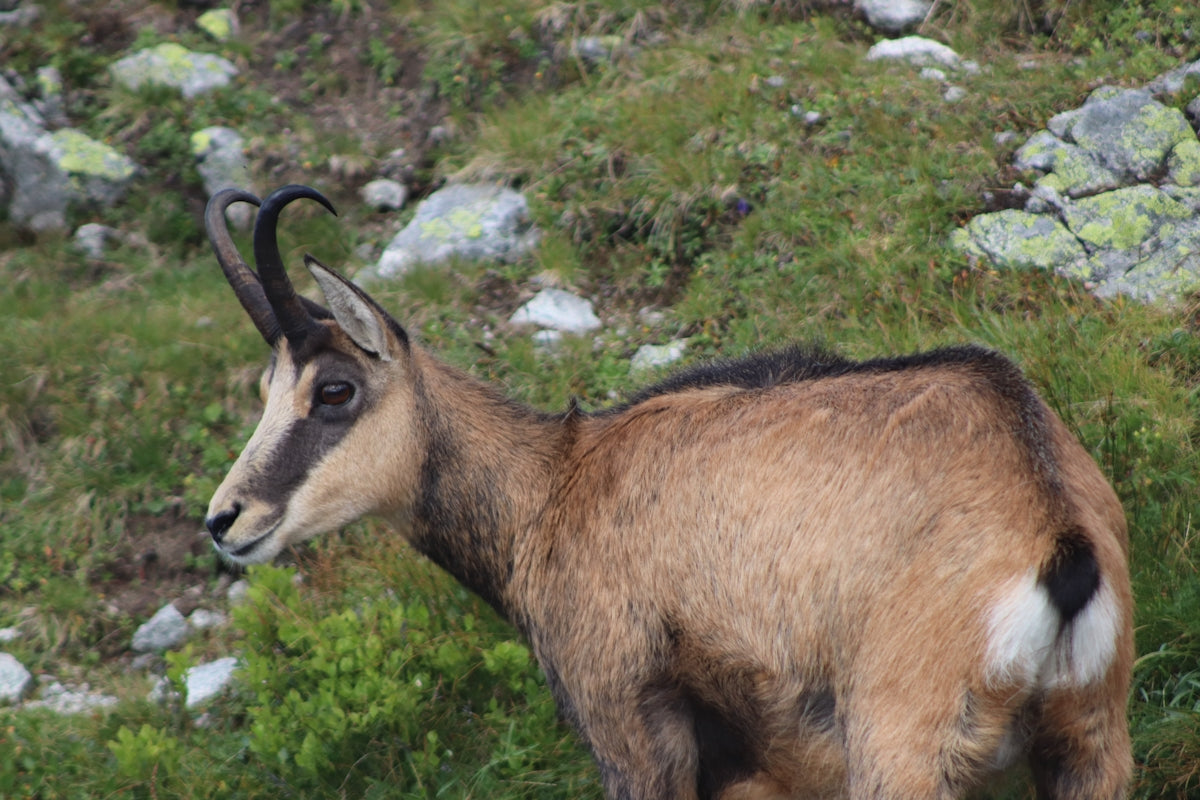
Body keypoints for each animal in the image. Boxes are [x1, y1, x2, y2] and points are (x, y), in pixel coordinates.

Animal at [203, 184, 1132, 800]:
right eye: (267, 388)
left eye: (334, 391)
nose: (225, 521)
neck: (555, 485)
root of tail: (1054, 539)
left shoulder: (631, 728)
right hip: (1090, 743)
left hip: (901, 749)